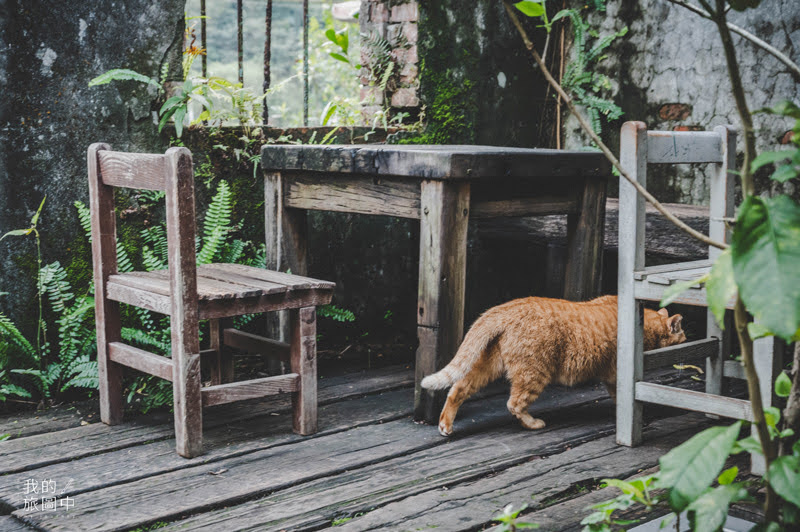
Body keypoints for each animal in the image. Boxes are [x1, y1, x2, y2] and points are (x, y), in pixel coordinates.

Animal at [418, 296, 688, 436]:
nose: (687, 340)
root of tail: (506, 307)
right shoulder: (616, 374)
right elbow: (624, 397)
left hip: (488, 366)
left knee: (457, 389)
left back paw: (445, 425)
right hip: (535, 374)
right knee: (514, 403)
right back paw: (533, 423)